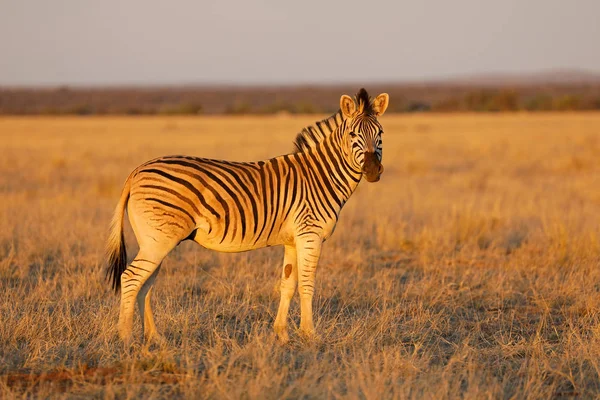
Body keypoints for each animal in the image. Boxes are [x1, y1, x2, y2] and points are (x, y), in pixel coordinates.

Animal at [106, 87, 390, 344]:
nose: (373, 171)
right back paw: (125, 339)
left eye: (380, 134)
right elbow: (307, 284)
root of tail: (136, 171)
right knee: (131, 278)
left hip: (155, 240)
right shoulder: (310, 234)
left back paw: (154, 338)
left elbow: (287, 284)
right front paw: (309, 335)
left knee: (145, 284)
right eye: (353, 134)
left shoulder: (292, 240)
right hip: (160, 239)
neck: (321, 176)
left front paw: (282, 334)